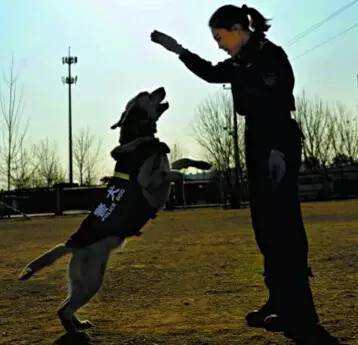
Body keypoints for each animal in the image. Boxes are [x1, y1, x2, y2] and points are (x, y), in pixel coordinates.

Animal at [18, 86, 182, 338]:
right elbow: (172, 172)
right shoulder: (149, 183)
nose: (162, 88)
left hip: (84, 280)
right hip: (92, 279)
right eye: (146, 94)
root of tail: (71, 244)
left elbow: (179, 163)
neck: (138, 138)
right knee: (63, 310)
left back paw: (79, 324)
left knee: (65, 305)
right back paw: (75, 332)